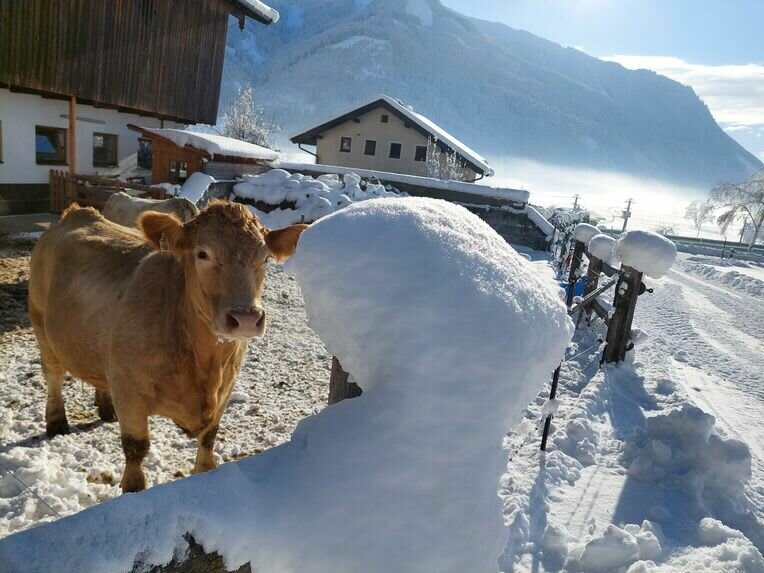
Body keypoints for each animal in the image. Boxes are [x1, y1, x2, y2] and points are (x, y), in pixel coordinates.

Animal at [28, 201, 307, 492]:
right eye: (202, 253)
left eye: (265, 259)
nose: (246, 318)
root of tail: (76, 213)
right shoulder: (129, 391)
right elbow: (136, 451)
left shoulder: (226, 388)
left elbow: (208, 443)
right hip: (40, 323)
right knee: (53, 375)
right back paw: (57, 422)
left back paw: (106, 409)